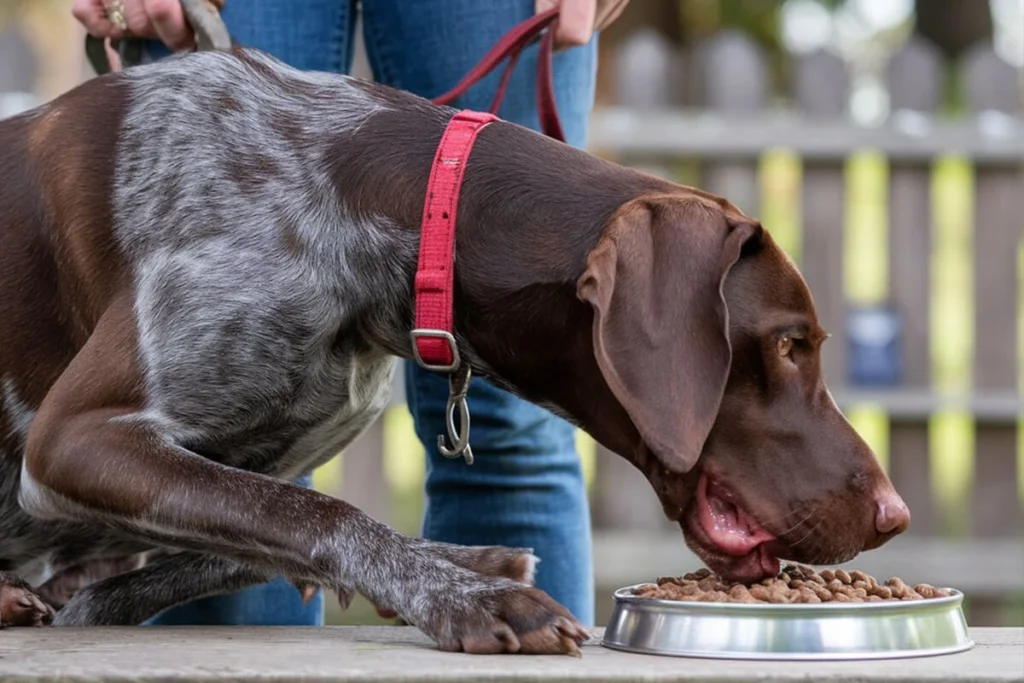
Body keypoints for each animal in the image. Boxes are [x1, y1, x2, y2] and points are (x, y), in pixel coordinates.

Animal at [0, 45, 913, 655]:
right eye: (789, 344)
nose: (894, 514)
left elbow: (242, 540)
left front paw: (470, 564)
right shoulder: (74, 438)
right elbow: (316, 514)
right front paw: (470, 595)